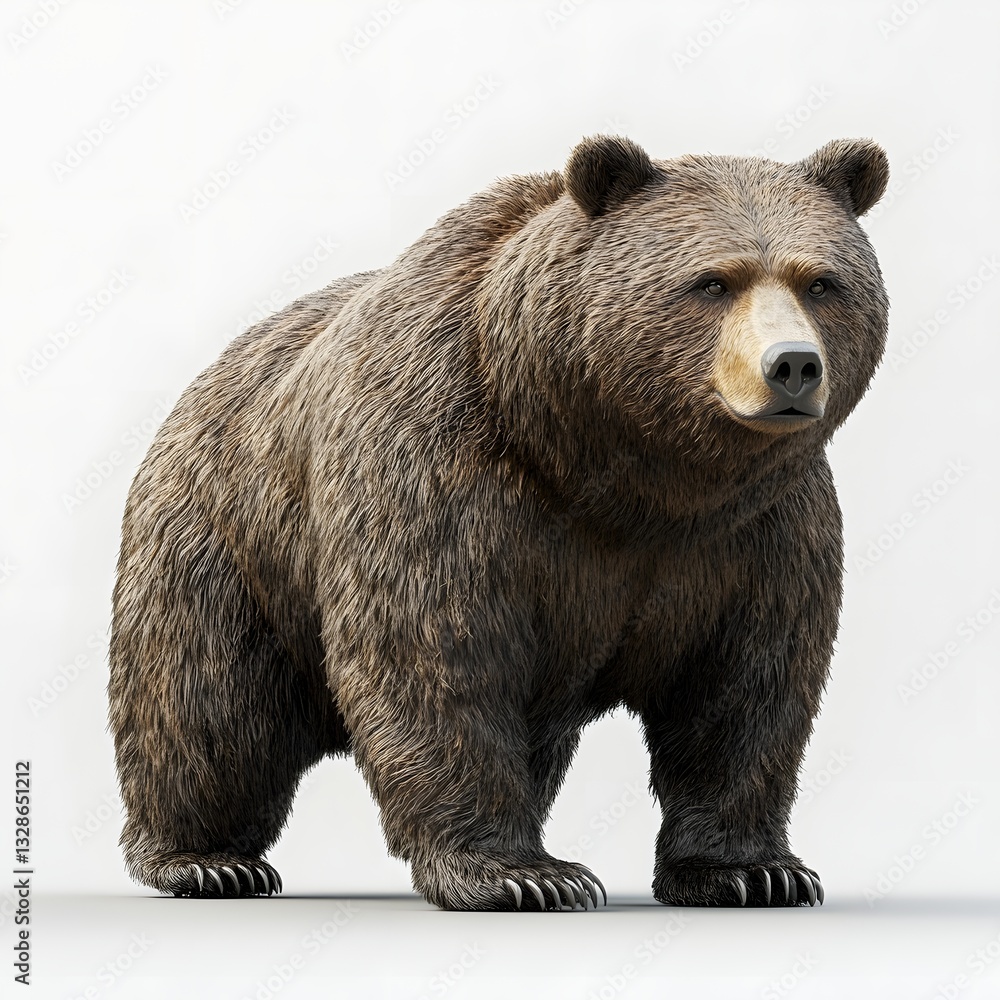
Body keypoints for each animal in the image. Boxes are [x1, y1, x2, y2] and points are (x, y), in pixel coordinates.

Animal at [108, 134, 888, 910]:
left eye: (821, 283)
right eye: (713, 282)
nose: (792, 366)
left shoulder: (755, 531)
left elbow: (744, 686)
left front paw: (753, 871)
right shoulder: (442, 465)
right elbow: (437, 649)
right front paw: (523, 875)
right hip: (225, 540)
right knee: (209, 709)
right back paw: (205, 861)